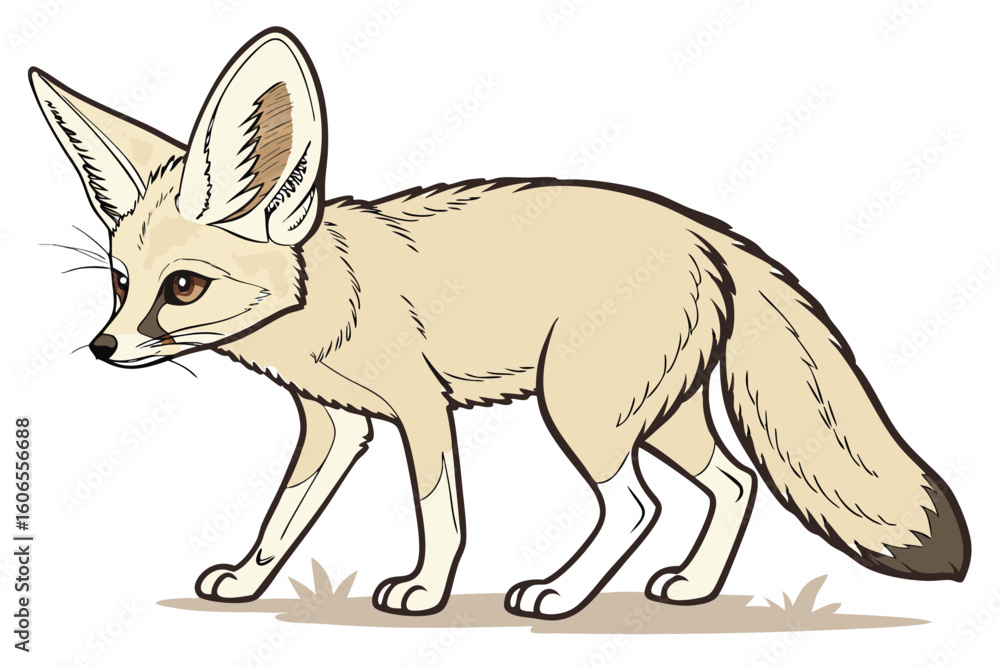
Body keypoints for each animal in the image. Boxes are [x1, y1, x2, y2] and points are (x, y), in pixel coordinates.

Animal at [30, 28, 970, 620]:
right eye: (120, 282)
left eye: (184, 287)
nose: (102, 346)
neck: (329, 298)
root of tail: (704, 226)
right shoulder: (334, 425)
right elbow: (283, 514)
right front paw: (250, 578)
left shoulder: (420, 407)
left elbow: (439, 512)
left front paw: (424, 590)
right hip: (653, 418)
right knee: (735, 483)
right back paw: (694, 585)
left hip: (585, 415)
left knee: (638, 506)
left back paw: (562, 594)